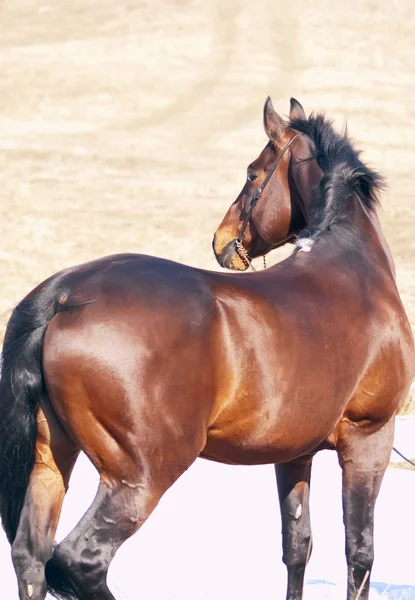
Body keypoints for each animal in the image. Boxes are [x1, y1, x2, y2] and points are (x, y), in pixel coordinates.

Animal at [0, 98, 414, 600]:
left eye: (254, 173)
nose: (221, 240)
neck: (353, 264)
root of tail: (65, 293)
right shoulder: (370, 437)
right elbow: (360, 553)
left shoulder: (294, 454)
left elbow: (298, 547)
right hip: (140, 476)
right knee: (80, 560)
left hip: (50, 461)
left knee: (31, 557)